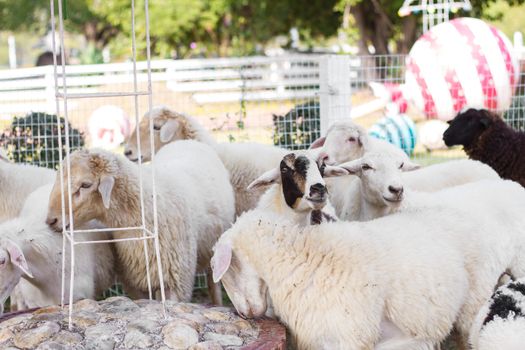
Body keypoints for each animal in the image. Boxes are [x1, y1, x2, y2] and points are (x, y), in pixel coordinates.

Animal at [46, 139, 234, 304]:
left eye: (85, 185)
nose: (51, 220)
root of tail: (186, 141)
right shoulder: (135, 281)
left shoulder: (175, 282)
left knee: (213, 283)